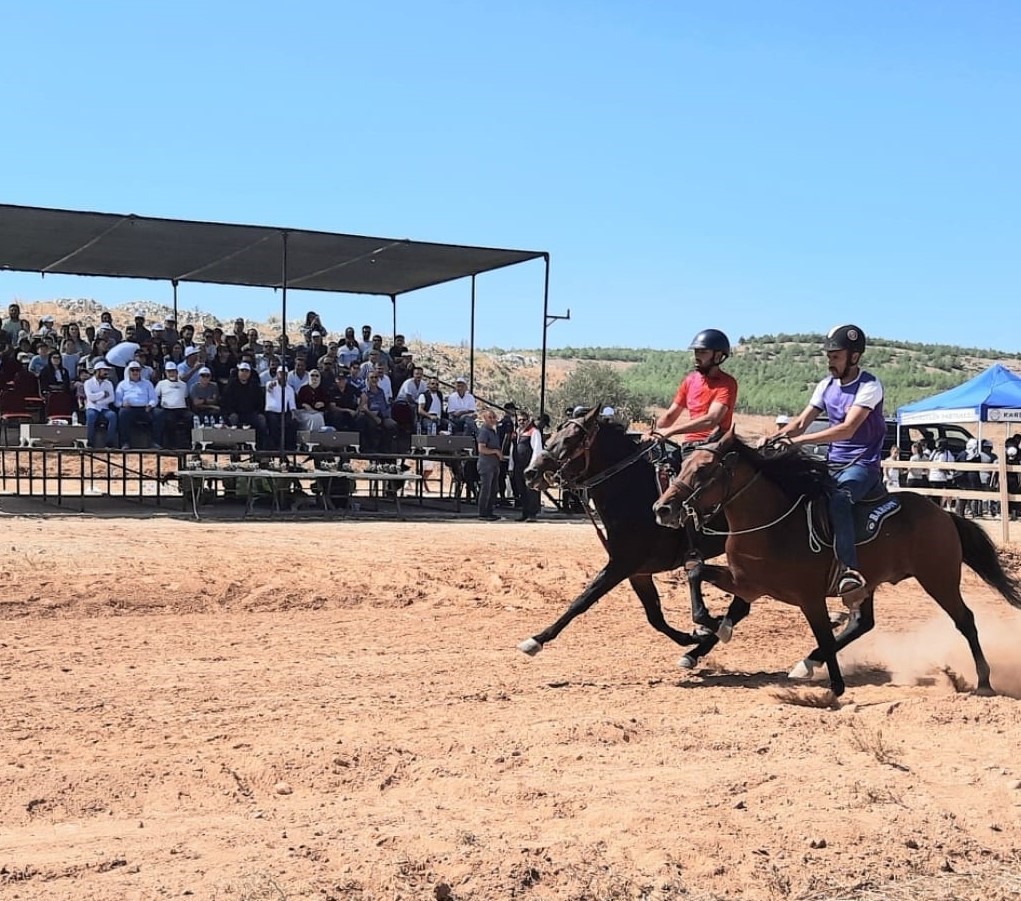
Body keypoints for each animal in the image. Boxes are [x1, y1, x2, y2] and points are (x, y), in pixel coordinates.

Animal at [518, 406, 751, 666]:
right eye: (552, 436)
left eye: (570, 439)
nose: (530, 473)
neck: (634, 493)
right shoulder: (638, 572)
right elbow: (655, 616)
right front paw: (692, 637)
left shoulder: (621, 564)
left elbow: (581, 601)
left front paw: (536, 640)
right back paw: (696, 650)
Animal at [653, 429, 1021, 694]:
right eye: (682, 465)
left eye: (703, 468)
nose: (662, 508)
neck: (772, 524)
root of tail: (943, 514)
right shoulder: (746, 583)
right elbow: (696, 570)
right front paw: (702, 633)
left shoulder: (809, 597)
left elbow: (823, 633)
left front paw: (836, 687)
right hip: (869, 584)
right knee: (862, 623)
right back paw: (806, 663)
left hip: (939, 578)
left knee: (965, 620)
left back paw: (984, 682)